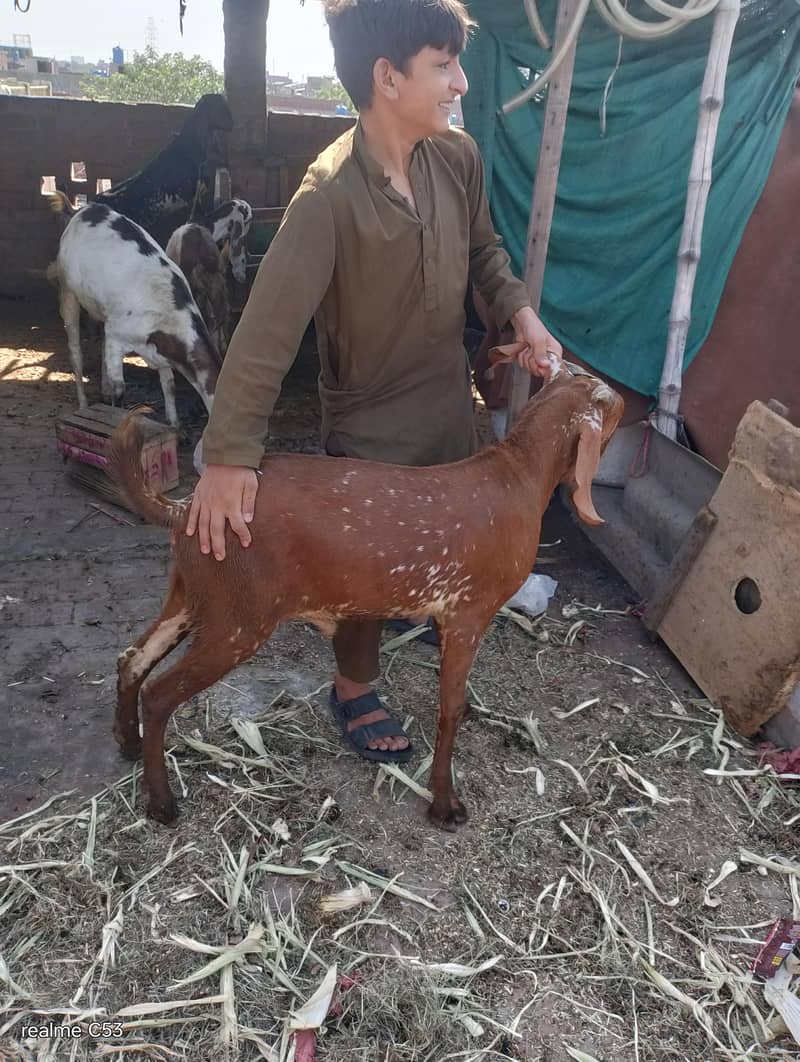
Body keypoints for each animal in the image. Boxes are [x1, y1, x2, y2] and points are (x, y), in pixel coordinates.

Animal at [50, 193, 222, 437]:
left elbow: (169, 385)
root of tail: (82, 210)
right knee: (75, 351)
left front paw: (175, 426)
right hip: (68, 292)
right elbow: (120, 389)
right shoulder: (118, 336)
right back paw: (83, 404)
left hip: (103, 309)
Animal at [108, 364, 623, 828]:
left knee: (132, 658)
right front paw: (444, 803)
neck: (516, 475)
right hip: (238, 621)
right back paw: (161, 804)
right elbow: (450, 711)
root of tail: (185, 508)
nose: (627, 407)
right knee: (158, 693)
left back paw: (129, 743)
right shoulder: (468, 615)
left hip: (193, 598)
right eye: (615, 405)